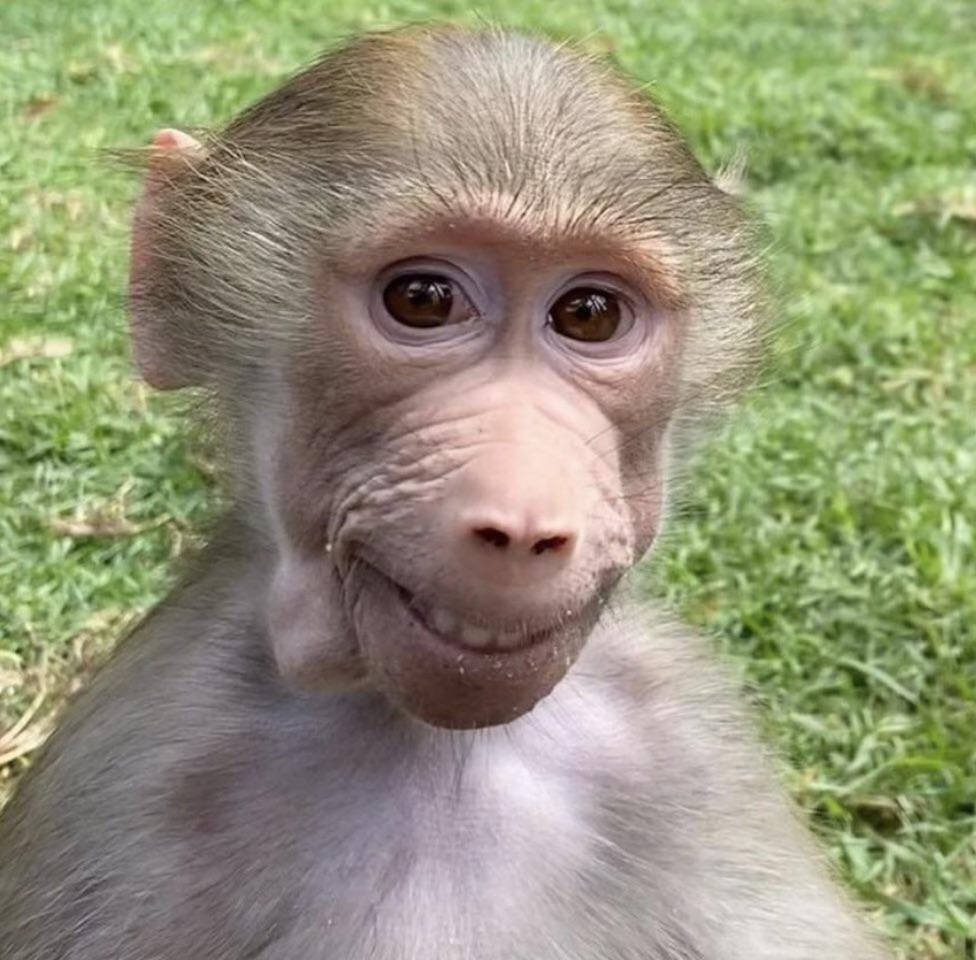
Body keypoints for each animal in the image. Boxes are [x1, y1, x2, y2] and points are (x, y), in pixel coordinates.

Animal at [0, 25, 893, 960]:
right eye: (422, 300)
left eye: (589, 316)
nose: (526, 522)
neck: (433, 743)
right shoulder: (139, 769)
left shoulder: (689, 743)